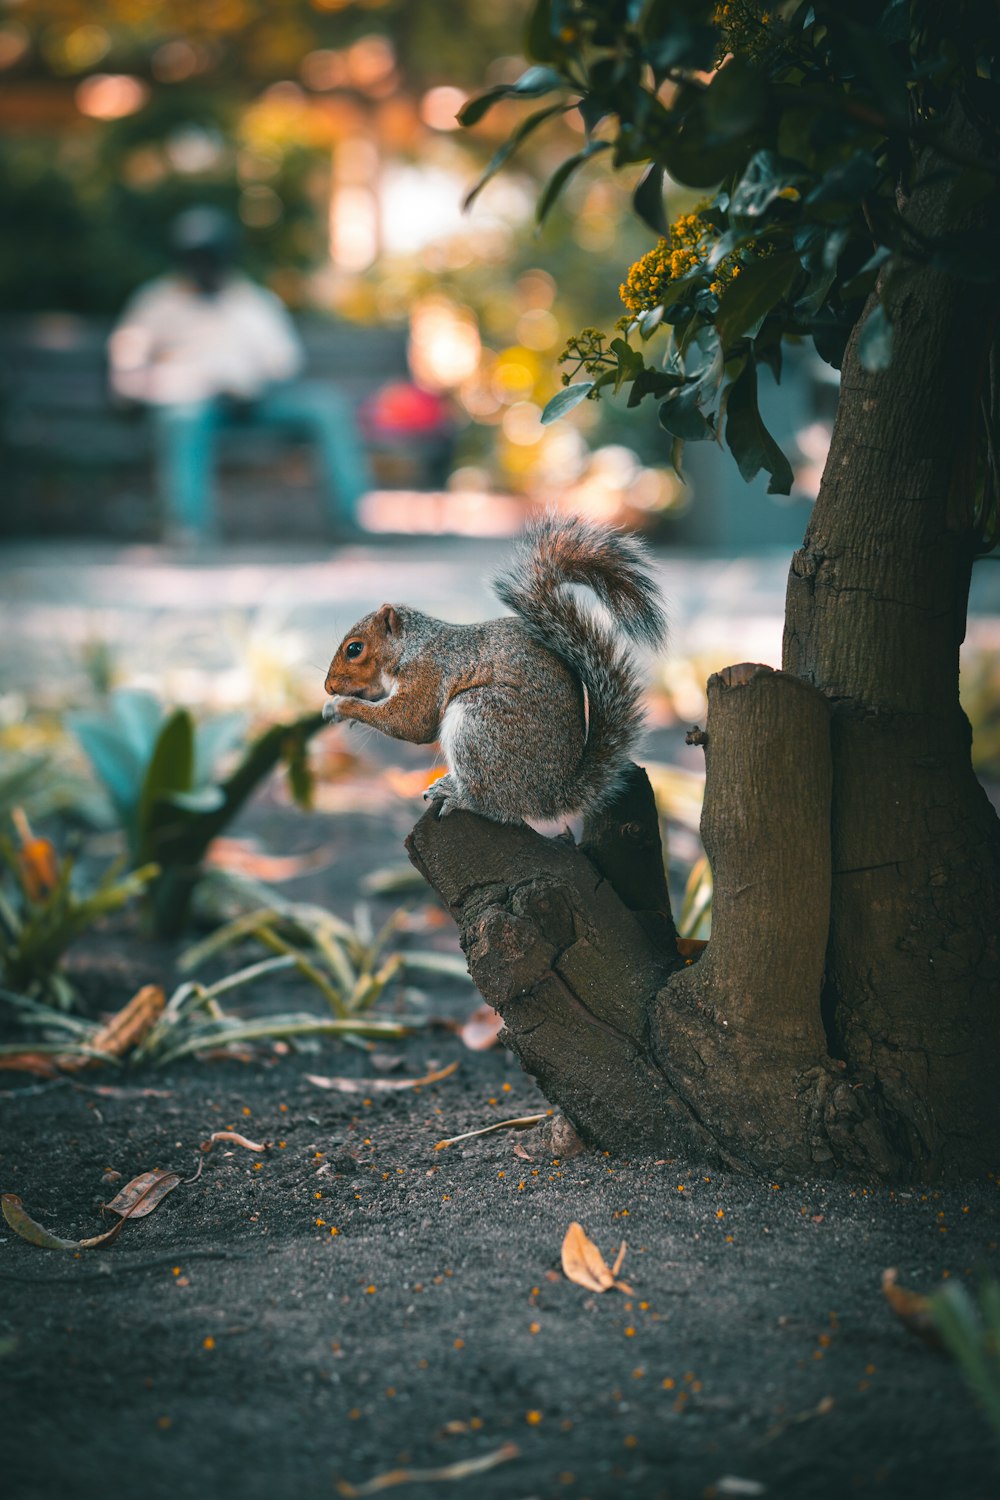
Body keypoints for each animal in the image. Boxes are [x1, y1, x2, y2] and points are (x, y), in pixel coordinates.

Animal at [322, 513, 665, 822]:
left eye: (355, 649)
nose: (328, 687)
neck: (413, 647)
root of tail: (550, 796)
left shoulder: (428, 674)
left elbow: (409, 722)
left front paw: (342, 706)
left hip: (480, 722)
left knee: (499, 808)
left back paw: (460, 797)